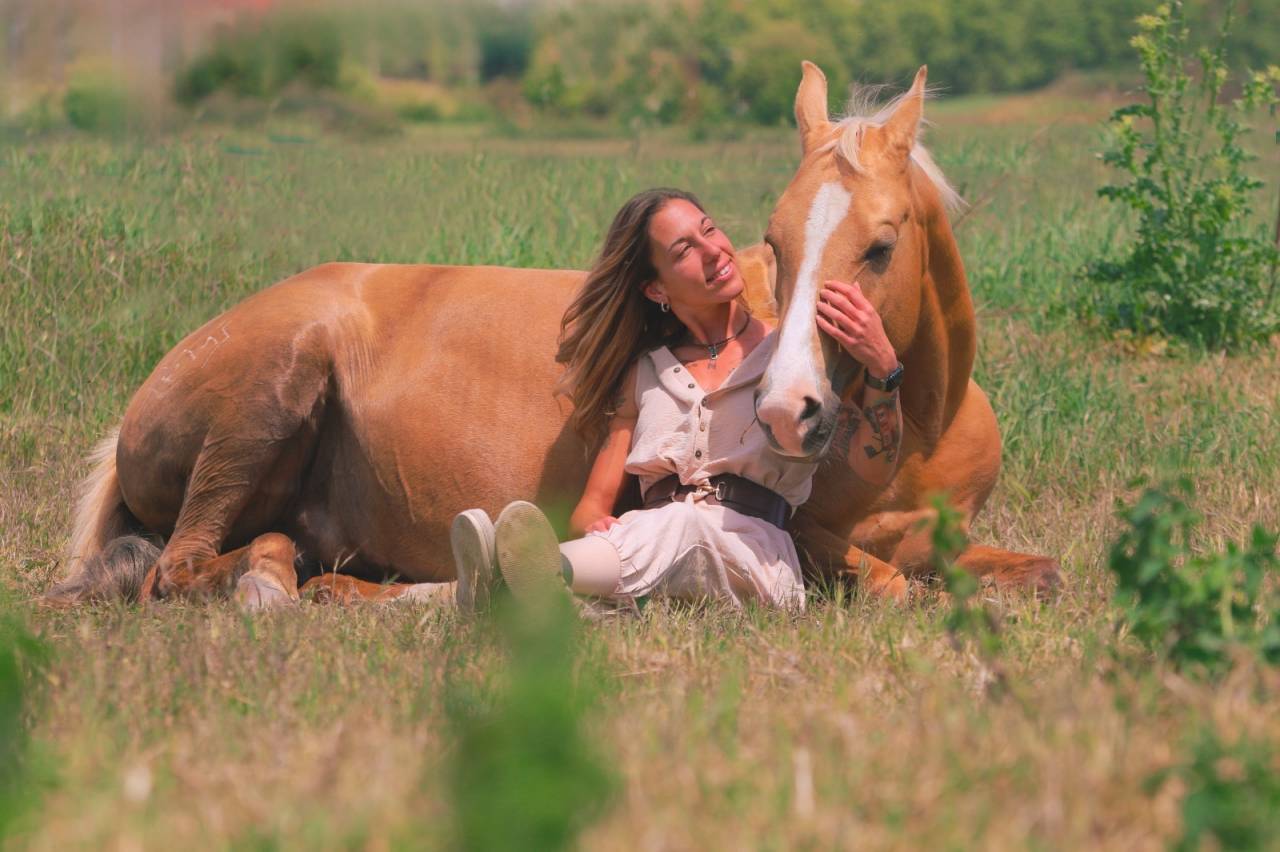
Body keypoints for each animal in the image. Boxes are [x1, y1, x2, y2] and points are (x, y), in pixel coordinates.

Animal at [43, 62, 1059, 608]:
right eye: (772, 242)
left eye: (881, 245)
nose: (786, 413)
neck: (912, 435)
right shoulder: (797, 534)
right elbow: (886, 584)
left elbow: (1035, 573)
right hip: (269, 395)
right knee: (192, 565)